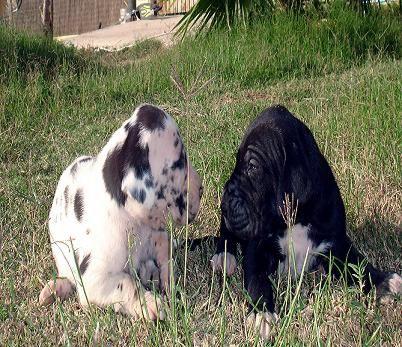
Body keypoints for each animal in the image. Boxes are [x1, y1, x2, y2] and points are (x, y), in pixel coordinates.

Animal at [39, 104, 203, 320]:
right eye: (180, 161)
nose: (201, 190)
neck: (133, 223)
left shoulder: (159, 237)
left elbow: (165, 257)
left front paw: (169, 283)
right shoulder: (95, 279)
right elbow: (127, 285)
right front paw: (151, 304)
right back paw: (56, 288)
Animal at [212, 105, 400, 338]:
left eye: (252, 167)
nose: (224, 202)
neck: (296, 219)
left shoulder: (335, 243)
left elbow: (357, 262)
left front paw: (383, 281)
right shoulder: (257, 249)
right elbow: (258, 280)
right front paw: (261, 314)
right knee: (225, 233)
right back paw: (223, 257)